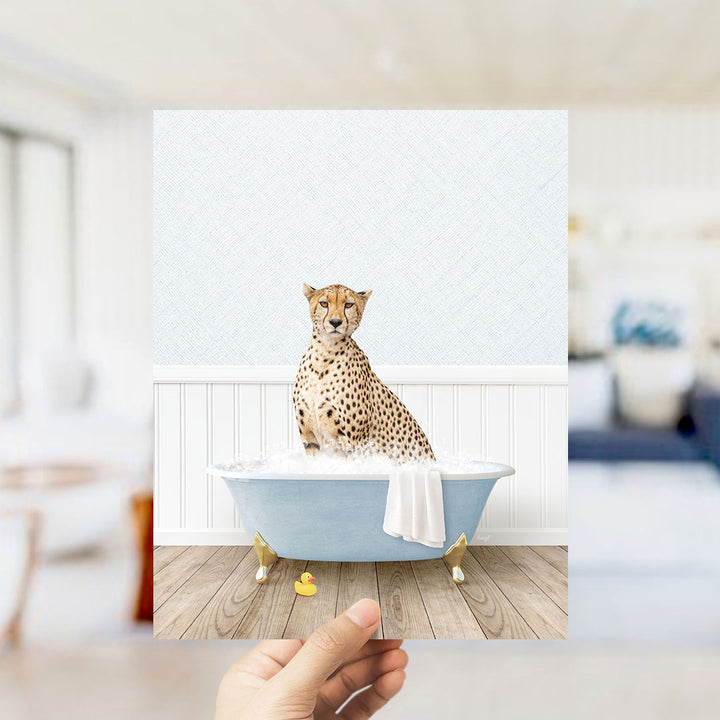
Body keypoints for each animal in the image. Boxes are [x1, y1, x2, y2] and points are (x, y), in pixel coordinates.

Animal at [293, 283, 435, 462]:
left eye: (348, 305)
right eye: (324, 303)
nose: (335, 322)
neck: (324, 354)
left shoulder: (355, 444)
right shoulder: (310, 439)